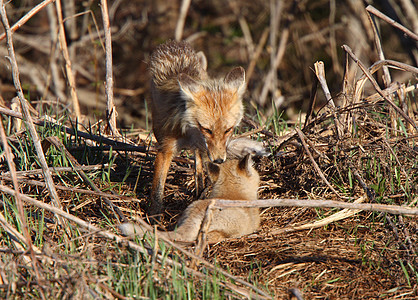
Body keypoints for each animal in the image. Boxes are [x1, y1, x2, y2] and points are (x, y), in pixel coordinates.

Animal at [149, 40, 247, 213]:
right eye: (207, 130)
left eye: (228, 130)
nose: (219, 160)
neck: (191, 132)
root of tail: (174, 44)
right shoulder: (166, 148)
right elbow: (158, 188)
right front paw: (154, 215)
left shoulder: (204, 147)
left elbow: (200, 170)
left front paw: (200, 193)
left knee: (198, 166)